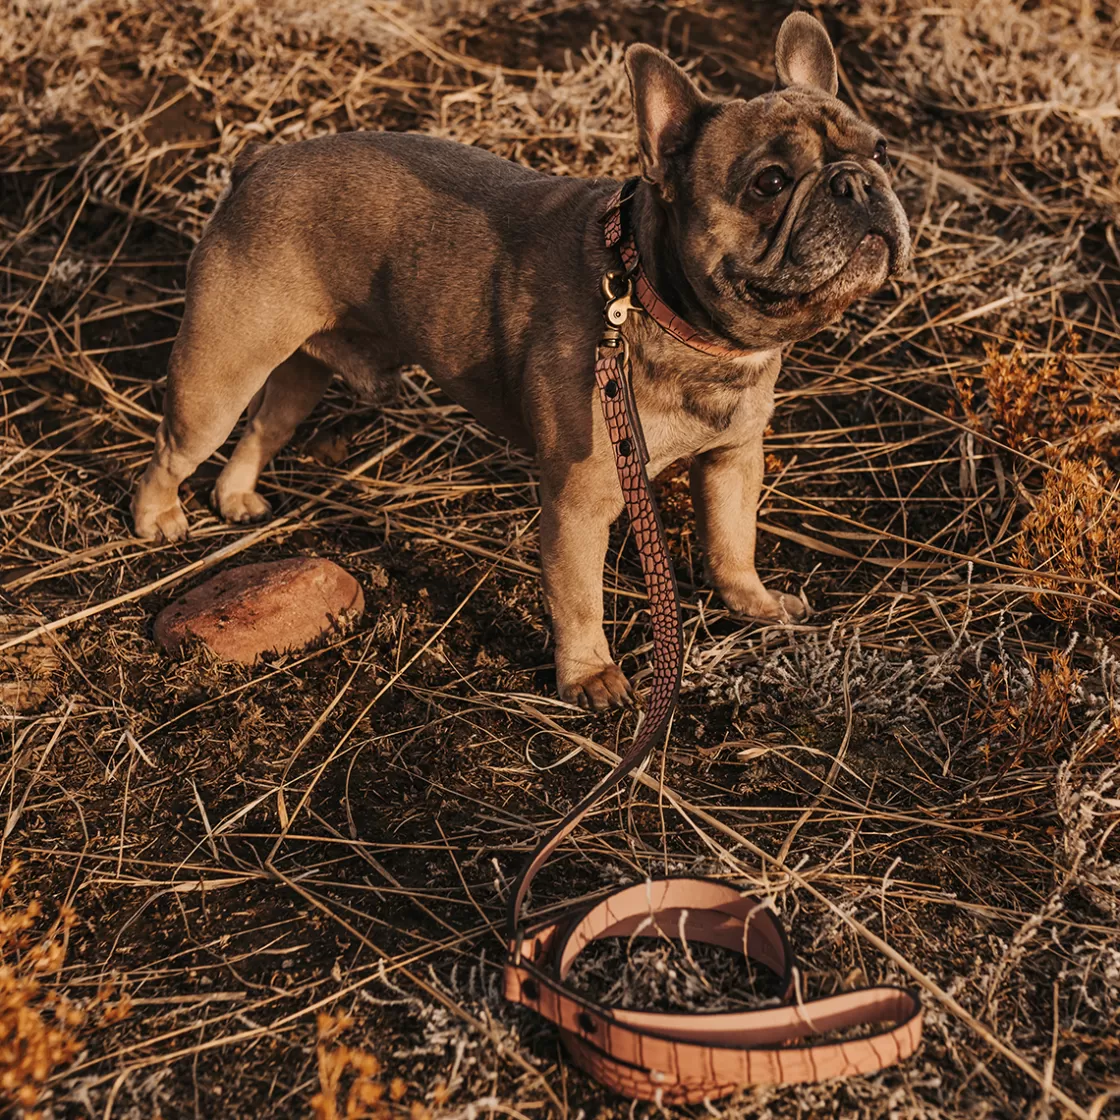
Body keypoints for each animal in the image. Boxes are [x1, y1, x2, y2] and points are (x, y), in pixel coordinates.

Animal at [133, 15, 909, 707]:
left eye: (881, 150)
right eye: (769, 183)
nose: (855, 182)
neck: (664, 306)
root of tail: (255, 164)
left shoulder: (733, 459)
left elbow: (732, 540)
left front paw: (754, 603)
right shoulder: (582, 501)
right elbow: (579, 596)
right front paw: (590, 677)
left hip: (298, 370)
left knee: (266, 426)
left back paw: (236, 496)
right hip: (220, 373)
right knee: (175, 448)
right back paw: (158, 518)